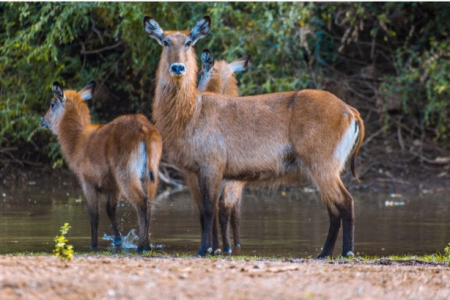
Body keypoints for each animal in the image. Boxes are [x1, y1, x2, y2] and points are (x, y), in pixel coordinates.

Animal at [40, 81, 163, 252]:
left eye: (52, 104)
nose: (42, 120)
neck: (78, 142)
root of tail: (145, 130)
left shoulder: (88, 182)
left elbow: (94, 214)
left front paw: (93, 245)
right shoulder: (113, 187)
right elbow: (110, 210)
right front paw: (117, 240)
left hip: (126, 174)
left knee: (142, 203)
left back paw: (141, 246)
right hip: (150, 176)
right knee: (149, 204)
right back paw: (148, 244)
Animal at [144, 15, 366, 256]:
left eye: (189, 42)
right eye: (165, 41)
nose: (178, 67)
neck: (192, 112)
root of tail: (349, 110)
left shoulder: (211, 166)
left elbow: (210, 209)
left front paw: (205, 250)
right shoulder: (194, 172)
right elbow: (204, 211)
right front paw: (212, 249)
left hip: (323, 166)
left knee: (346, 201)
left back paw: (346, 251)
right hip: (322, 170)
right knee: (334, 208)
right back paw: (324, 253)